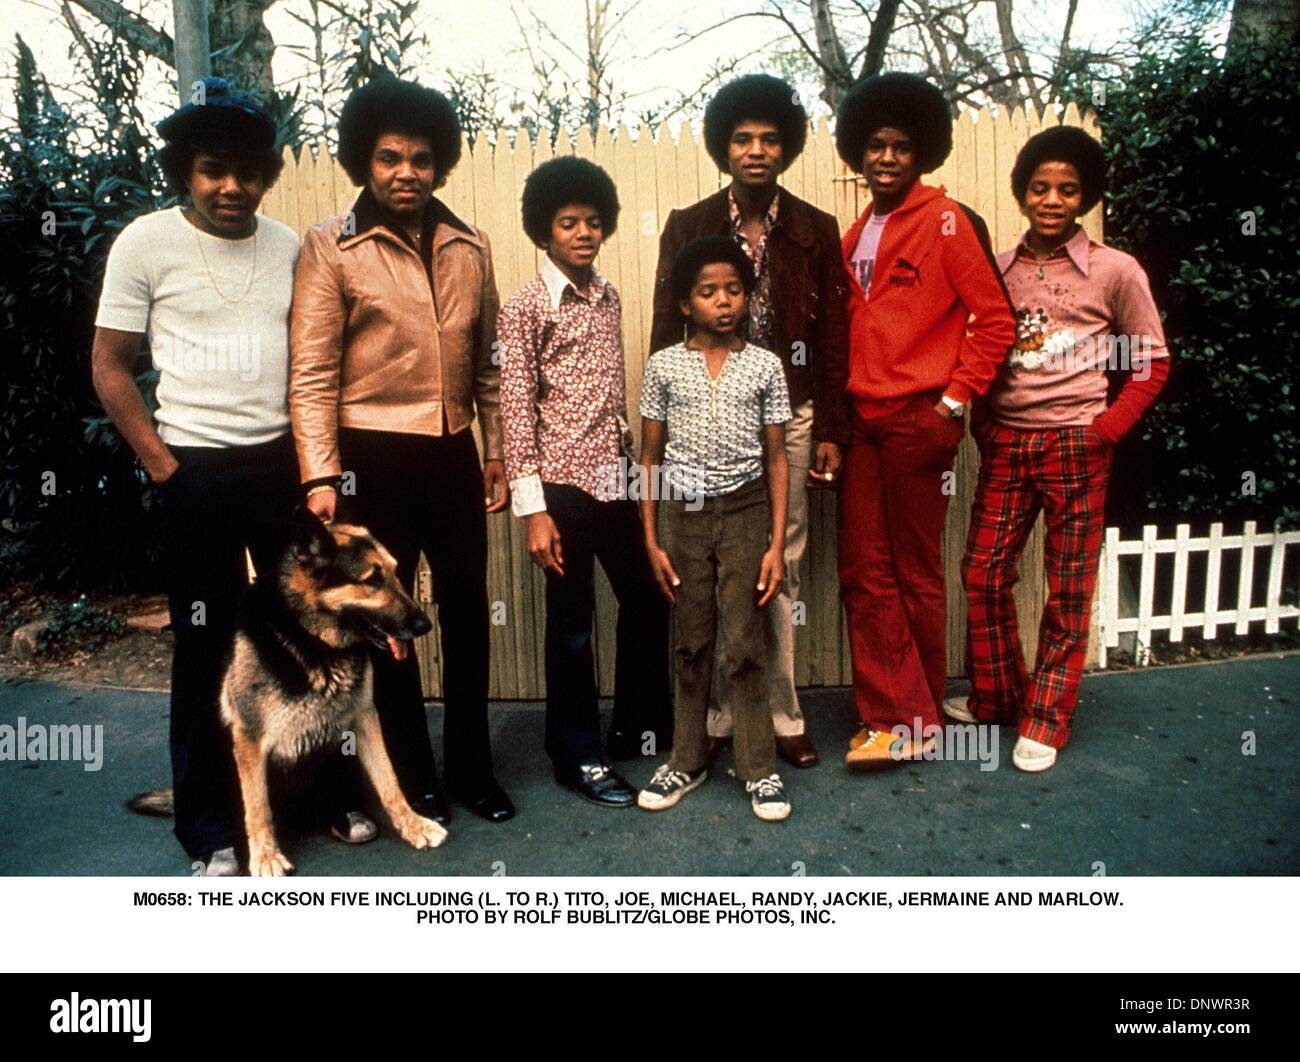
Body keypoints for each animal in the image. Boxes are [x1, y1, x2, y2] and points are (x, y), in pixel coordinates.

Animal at [128, 509, 447, 873]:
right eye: (372, 581)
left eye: (394, 572)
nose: (425, 625)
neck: (313, 641)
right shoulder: (249, 740)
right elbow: (257, 807)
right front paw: (266, 856)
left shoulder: (365, 717)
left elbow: (389, 780)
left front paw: (414, 825)